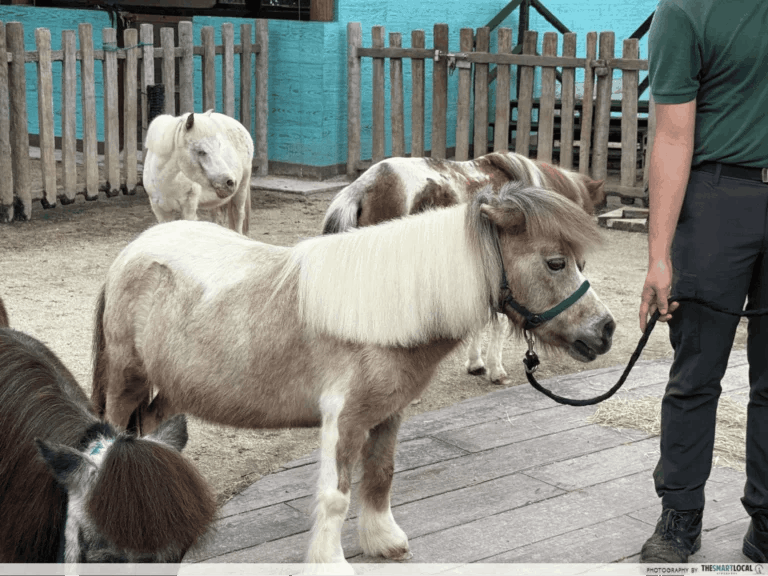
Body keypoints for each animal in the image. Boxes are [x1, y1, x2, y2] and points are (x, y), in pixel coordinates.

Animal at [91, 181, 614, 572]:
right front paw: (332, 562)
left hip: (171, 387)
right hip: (126, 382)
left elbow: (380, 476)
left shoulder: (387, 414)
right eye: (555, 262)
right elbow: (337, 495)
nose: (604, 330)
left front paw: (383, 540)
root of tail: (133, 251)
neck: (385, 312)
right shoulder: (344, 419)